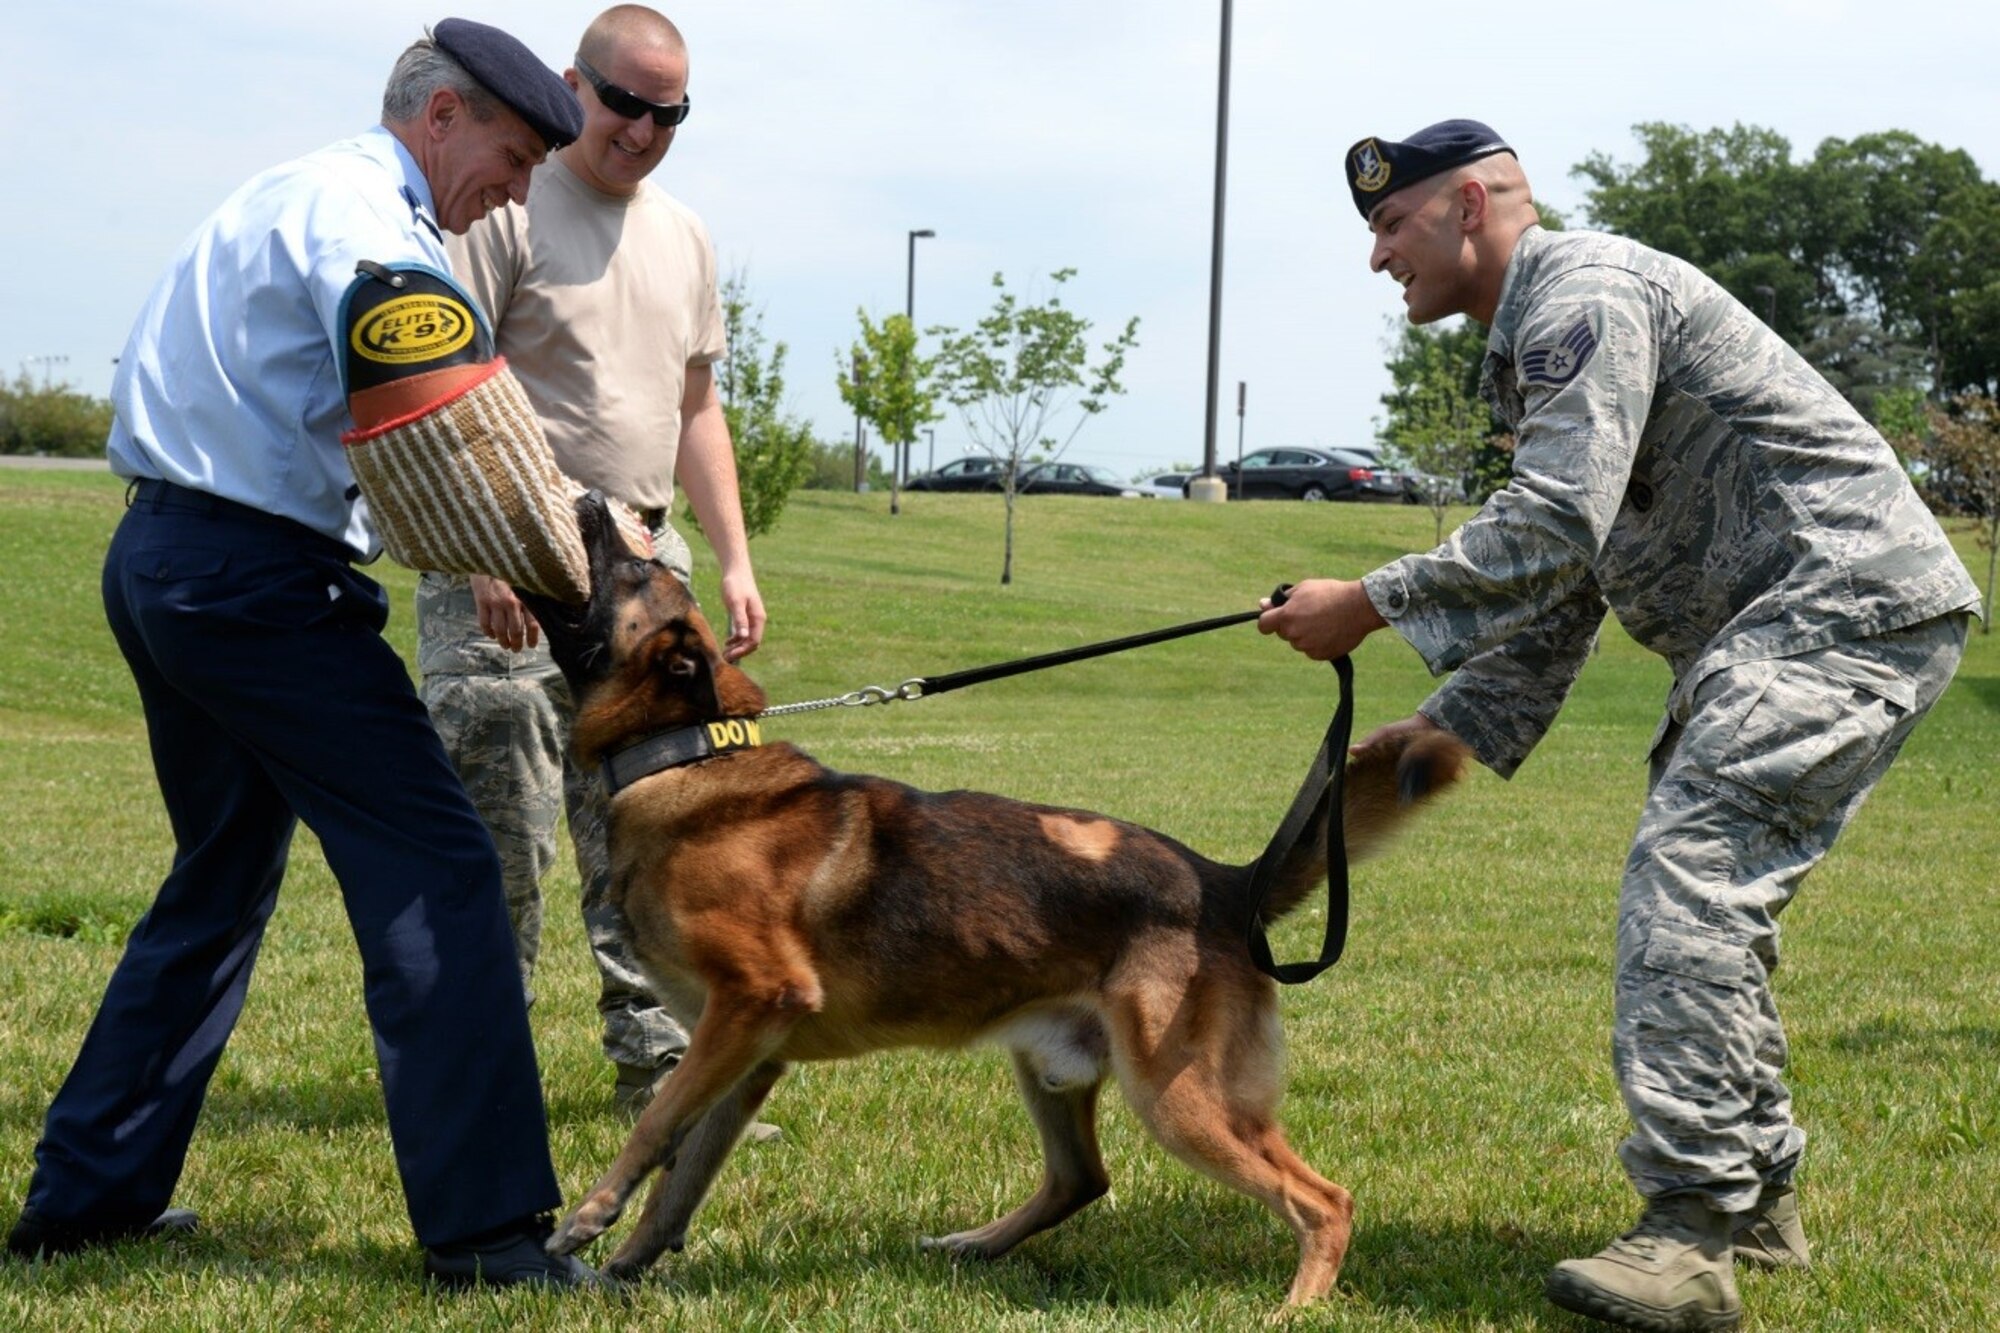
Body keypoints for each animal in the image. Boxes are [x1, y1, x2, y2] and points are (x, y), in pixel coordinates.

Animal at [520, 492, 1472, 1304]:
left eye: (633, 569)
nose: (600, 501)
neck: (686, 752)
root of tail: (1225, 882)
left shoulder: (754, 1004)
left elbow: (655, 1128)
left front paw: (587, 1220)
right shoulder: (749, 1052)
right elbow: (681, 1177)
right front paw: (626, 1268)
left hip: (1180, 1099)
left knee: (1324, 1198)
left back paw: (1296, 1306)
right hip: (1053, 1066)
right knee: (1082, 1178)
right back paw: (974, 1244)